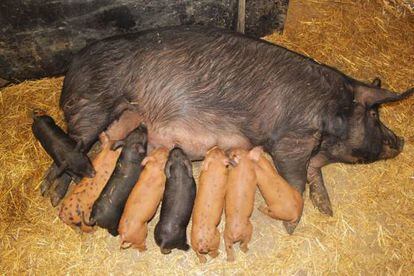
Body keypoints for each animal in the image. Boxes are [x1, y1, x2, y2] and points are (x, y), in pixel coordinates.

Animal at [44, 25, 410, 233]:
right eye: (375, 115)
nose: (402, 140)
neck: (330, 108)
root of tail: (70, 69)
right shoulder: (292, 138)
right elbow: (295, 179)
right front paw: (292, 225)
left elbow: (314, 172)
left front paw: (327, 209)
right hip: (92, 104)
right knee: (70, 152)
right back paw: (52, 195)